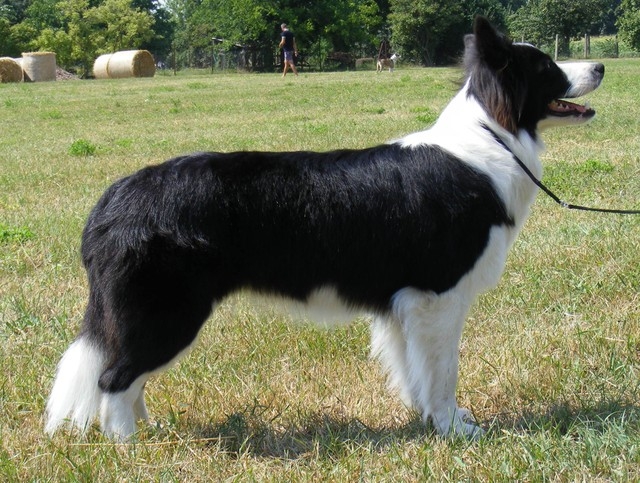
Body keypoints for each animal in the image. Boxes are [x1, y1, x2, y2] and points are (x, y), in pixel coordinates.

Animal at [45, 17, 604, 440]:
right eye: (547, 67)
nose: (600, 66)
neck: (494, 135)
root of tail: (113, 200)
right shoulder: (438, 295)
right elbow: (443, 371)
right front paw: (454, 429)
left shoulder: (404, 304)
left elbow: (414, 371)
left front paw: (429, 421)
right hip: (169, 311)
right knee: (114, 377)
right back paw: (128, 444)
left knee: (129, 376)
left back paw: (152, 430)